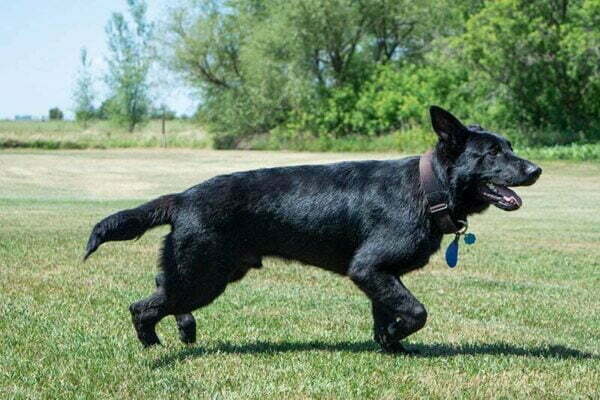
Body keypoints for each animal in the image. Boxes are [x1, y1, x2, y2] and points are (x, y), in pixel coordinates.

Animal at [85, 107, 544, 354]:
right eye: (492, 153)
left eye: (510, 146)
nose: (537, 170)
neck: (428, 189)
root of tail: (181, 197)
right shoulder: (370, 268)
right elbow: (416, 312)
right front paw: (396, 336)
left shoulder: (379, 276)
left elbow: (386, 313)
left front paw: (391, 346)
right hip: (202, 276)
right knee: (142, 307)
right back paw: (154, 347)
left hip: (207, 273)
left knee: (160, 291)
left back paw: (183, 331)